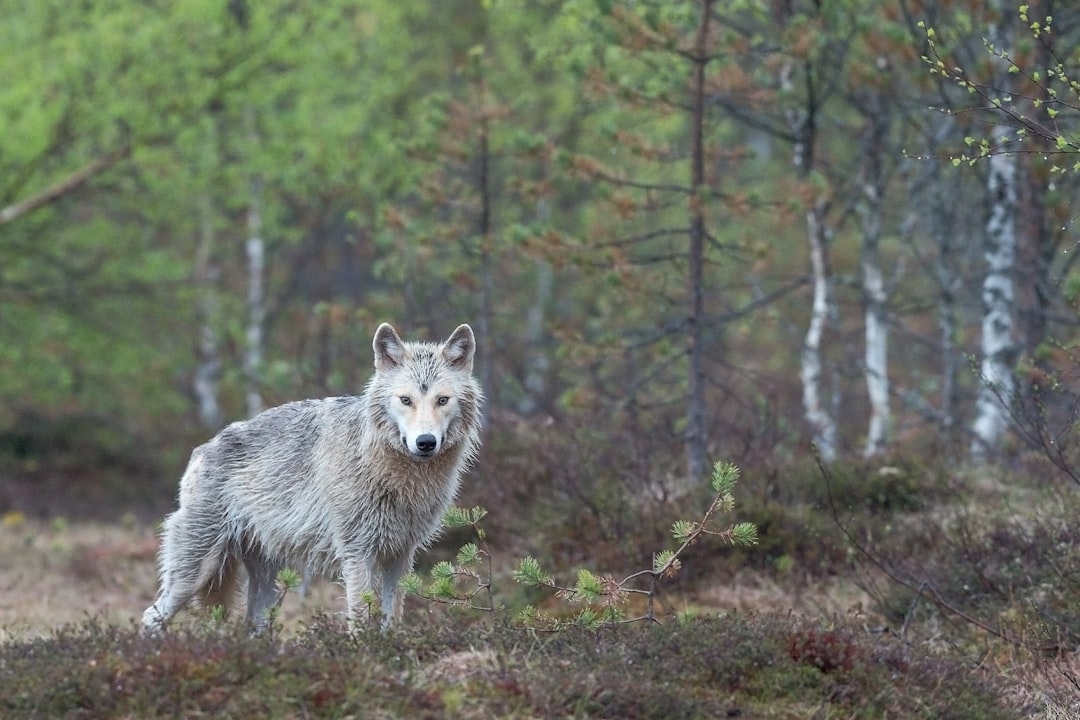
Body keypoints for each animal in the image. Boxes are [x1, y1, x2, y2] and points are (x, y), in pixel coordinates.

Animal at [141, 323, 483, 634]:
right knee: (149, 617)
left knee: (250, 625)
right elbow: (361, 618)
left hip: (264, 580)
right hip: (196, 571)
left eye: (442, 400)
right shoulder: (357, 553)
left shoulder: (400, 556)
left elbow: (391, 620)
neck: (394, 474)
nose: (425, 442)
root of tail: (202, 448)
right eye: (406, 400)